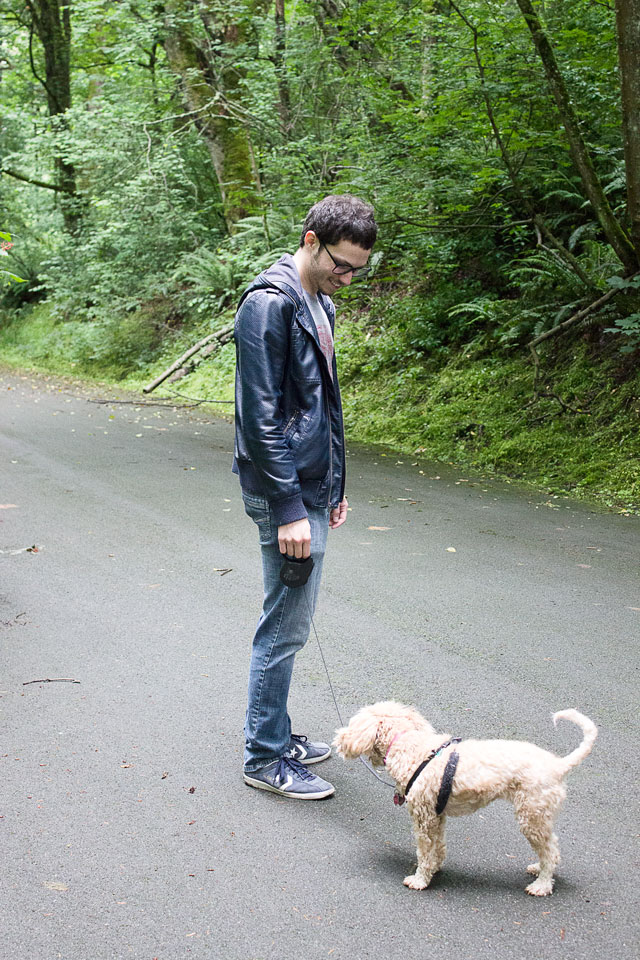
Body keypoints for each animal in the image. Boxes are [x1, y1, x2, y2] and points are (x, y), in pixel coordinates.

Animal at [333, 701, 597, 896]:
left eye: (353, 723)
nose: (338, 738)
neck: (410, 746)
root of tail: (559, 766)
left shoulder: (423, 818)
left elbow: (424, 851)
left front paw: (420, 879)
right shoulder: (436, 815)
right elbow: (438, 846)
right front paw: (435, 868)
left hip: (531, 815)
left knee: (551, 851)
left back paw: (541, 885)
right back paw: (538, 869)